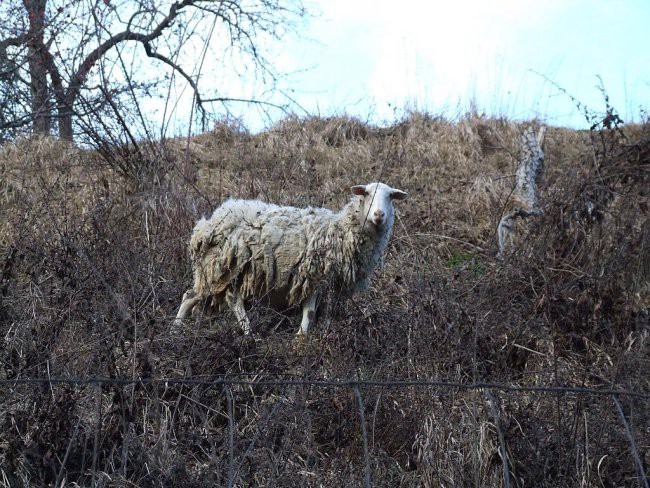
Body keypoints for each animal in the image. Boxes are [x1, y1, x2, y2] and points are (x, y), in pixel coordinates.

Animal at [172, 182, 404, 336]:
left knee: (190, 295)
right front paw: (301, 337)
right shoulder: (314, 274)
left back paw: (175, 329)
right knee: (231, 300)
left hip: (213, 271)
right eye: (366, 194)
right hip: (224, 266)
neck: (341, 230)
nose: (379, 215)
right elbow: (309, 311)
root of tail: (205, 226)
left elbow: (321, 312)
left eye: (390, 196)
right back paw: (248, 333)